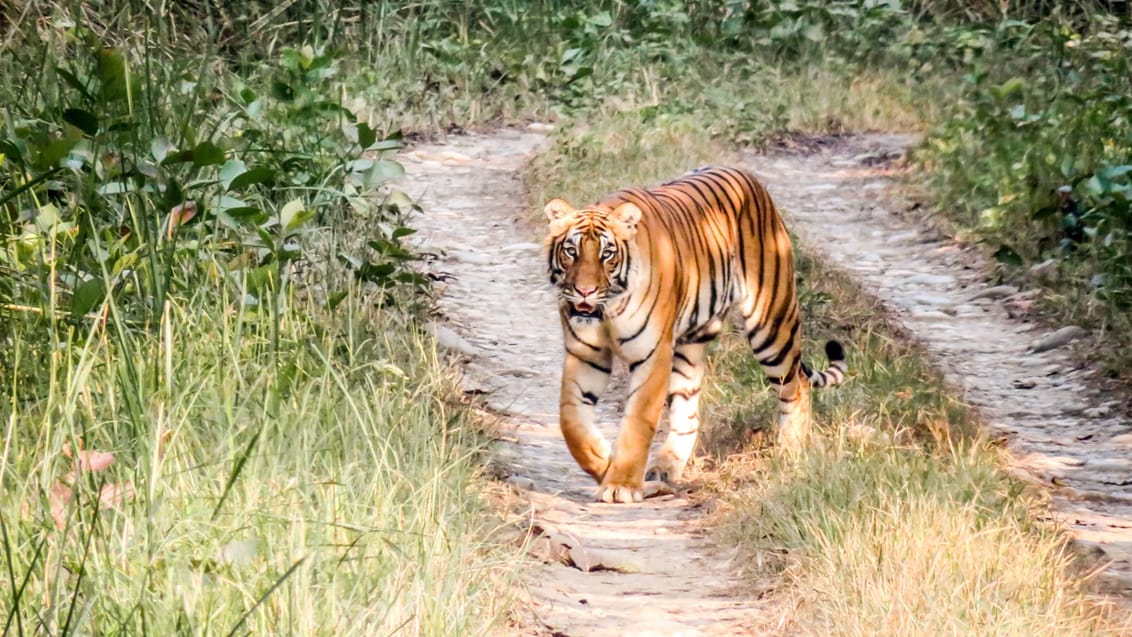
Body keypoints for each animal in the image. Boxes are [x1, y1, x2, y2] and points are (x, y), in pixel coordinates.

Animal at [543, 164, 846, 504]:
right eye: (571, 251)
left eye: (607, 255)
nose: (585, 291)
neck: (608, 310)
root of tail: (749, 177)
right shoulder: (585, 355)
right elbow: (571, 422)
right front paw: (605, 464)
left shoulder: (652, 356)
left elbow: (637, 423)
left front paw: (621, 484)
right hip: (689, 347)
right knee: (688, 412)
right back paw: (665, 467)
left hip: (771, 323)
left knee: (797, 385)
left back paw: (790, 451)